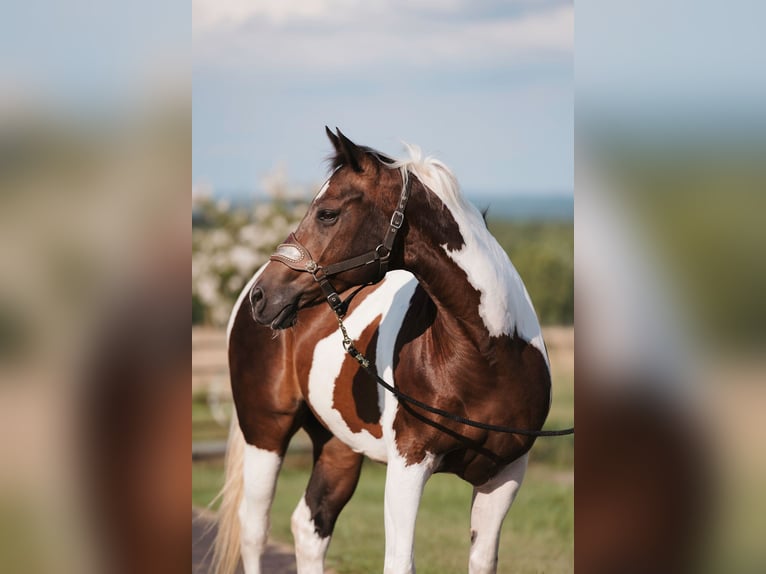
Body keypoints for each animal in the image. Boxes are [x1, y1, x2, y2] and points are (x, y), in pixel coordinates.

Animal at [213, 130, 556, 574]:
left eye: (327, 213)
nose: (263, 297)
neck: (488, 357)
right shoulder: (409, 465)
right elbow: (400, 560)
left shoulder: (505, 474)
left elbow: (482, 560)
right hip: (265, 431)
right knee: (255, 528)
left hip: (337, 446)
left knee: (310, 526)